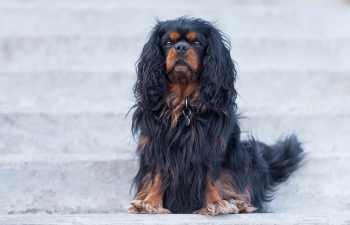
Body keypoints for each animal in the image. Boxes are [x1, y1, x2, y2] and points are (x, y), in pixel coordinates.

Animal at [126, 16, 304, 215]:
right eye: (167, 43)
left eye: (197, 43)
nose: (180, 47)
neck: (184, 100)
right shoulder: (157, 141)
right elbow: (156, 174)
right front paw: (149, 203)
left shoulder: (212, 144)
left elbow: (212, 177)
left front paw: (215, 202)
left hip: (247, 154)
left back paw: (238, 202)